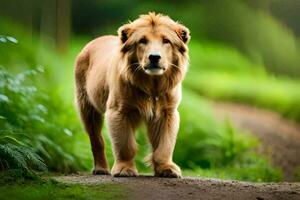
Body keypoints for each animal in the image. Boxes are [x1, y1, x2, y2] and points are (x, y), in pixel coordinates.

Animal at [74, 12, 190, 178]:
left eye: (166, 41)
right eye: (142, 41)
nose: (154, 57)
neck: (152, 85)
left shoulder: (168, 112)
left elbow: (164, 145)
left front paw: (166, 168)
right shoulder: (118, 111)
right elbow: (125, 145)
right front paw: (124, 169)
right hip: (87, 106)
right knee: (96, 139)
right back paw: (101, 169)